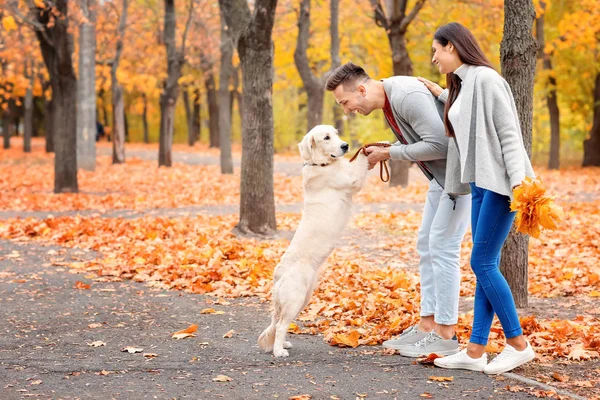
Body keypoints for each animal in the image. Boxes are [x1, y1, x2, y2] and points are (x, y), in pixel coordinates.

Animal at [258, 124, 370, 356]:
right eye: (326, 138)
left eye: (336, 134)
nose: (345, 145)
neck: (323, 164)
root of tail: (278, 276)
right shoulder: (352, 179)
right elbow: (362, 160)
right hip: (296, 298)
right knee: (280, 325)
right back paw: (279, 351)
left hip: (303, 299)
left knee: (277, 322)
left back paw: (282, 344)